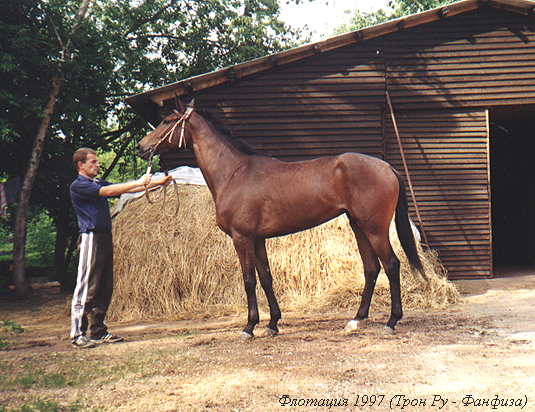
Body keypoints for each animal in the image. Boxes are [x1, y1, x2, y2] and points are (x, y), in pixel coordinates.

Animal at [136, 99, 426, 338]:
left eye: (167, 120)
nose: (141, 147)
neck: (235, 173)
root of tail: (387, 166)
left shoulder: (242, 238)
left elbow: (249, 280)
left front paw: (249, 327)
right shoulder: (257, 239)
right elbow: (265, 278)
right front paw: (272, 324)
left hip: (374, 228)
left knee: (391, 265)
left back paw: (391, 322)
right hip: (359, 226)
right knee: (371, 268)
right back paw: (356, 320)